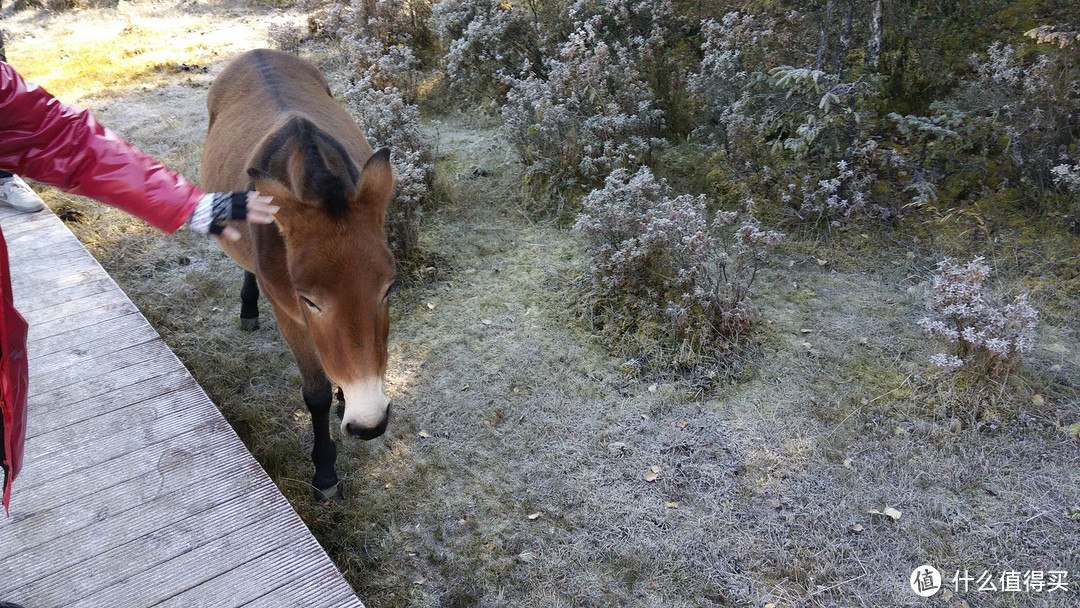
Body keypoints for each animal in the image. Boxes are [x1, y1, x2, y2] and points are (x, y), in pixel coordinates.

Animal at [200, 49, 395, 501]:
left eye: (388, 291)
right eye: (309, 300)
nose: (370, 424)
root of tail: (256, 52)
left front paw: (345, 397)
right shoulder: (290, 316)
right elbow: (315, 393)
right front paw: (325, 472)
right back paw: (248, 308)